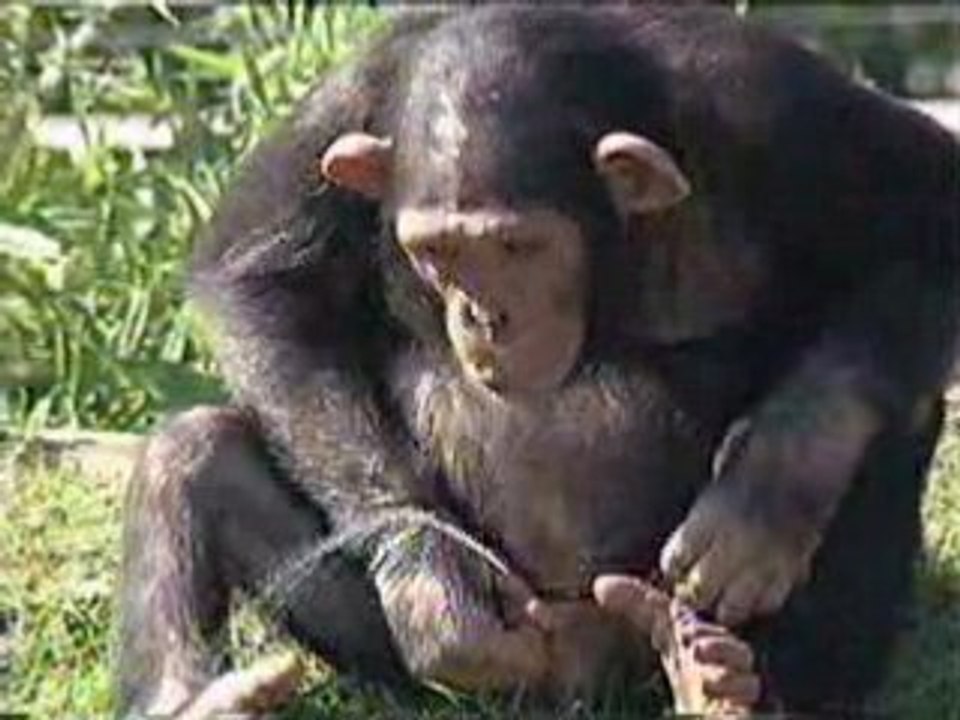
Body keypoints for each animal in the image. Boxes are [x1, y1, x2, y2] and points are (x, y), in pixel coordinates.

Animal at [116, 5, 959, 718]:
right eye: (439, 251)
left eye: (520, 246)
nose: (486, 316)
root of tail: (579, 685)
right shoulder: (341, 103)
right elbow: (255, 280)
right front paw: (428, 578)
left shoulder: (772, 106)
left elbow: (929, 206)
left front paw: (769, 489)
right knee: (189, 453)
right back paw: (195, 699)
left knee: (890, 410)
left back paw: (729, 684)